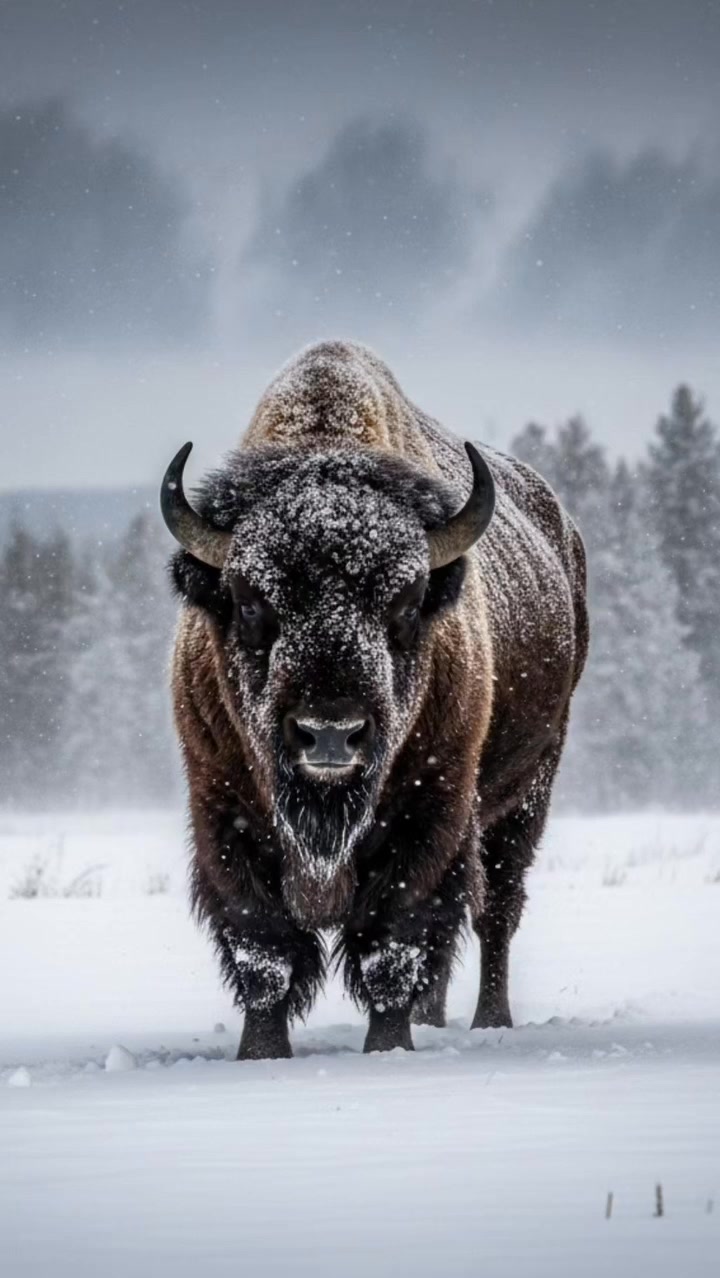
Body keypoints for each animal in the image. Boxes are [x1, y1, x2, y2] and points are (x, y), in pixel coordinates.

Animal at [162, 341, 588, 1059]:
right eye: (249, 599)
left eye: (406, 601)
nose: (330, 732)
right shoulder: (222, 808)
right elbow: (262, 948)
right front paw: (261, 1054)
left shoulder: (430, 813)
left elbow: (396, 941)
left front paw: (388, 1048)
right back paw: (435, 1018)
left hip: (528, 792)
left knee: (496, 910)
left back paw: (489, 1021)